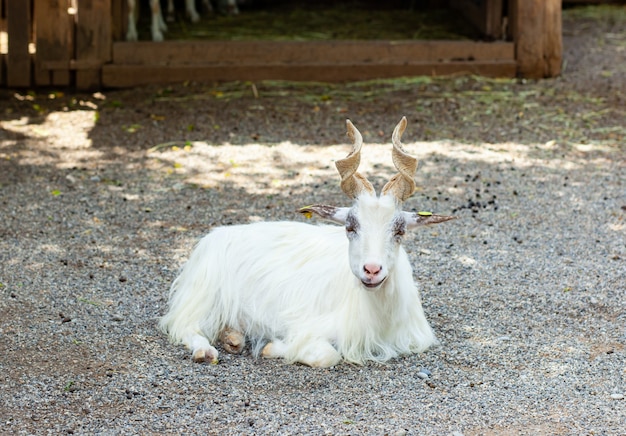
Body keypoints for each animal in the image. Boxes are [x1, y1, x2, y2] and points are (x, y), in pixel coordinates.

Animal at [160, 117, 454, 366]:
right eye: (350, 227)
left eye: (399, 231)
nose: (372, 270)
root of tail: (215, 236)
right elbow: (327, 355)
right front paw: (272, 347)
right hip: (203, 298)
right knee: (184, 325)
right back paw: (205, 351)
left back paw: (233, 338)